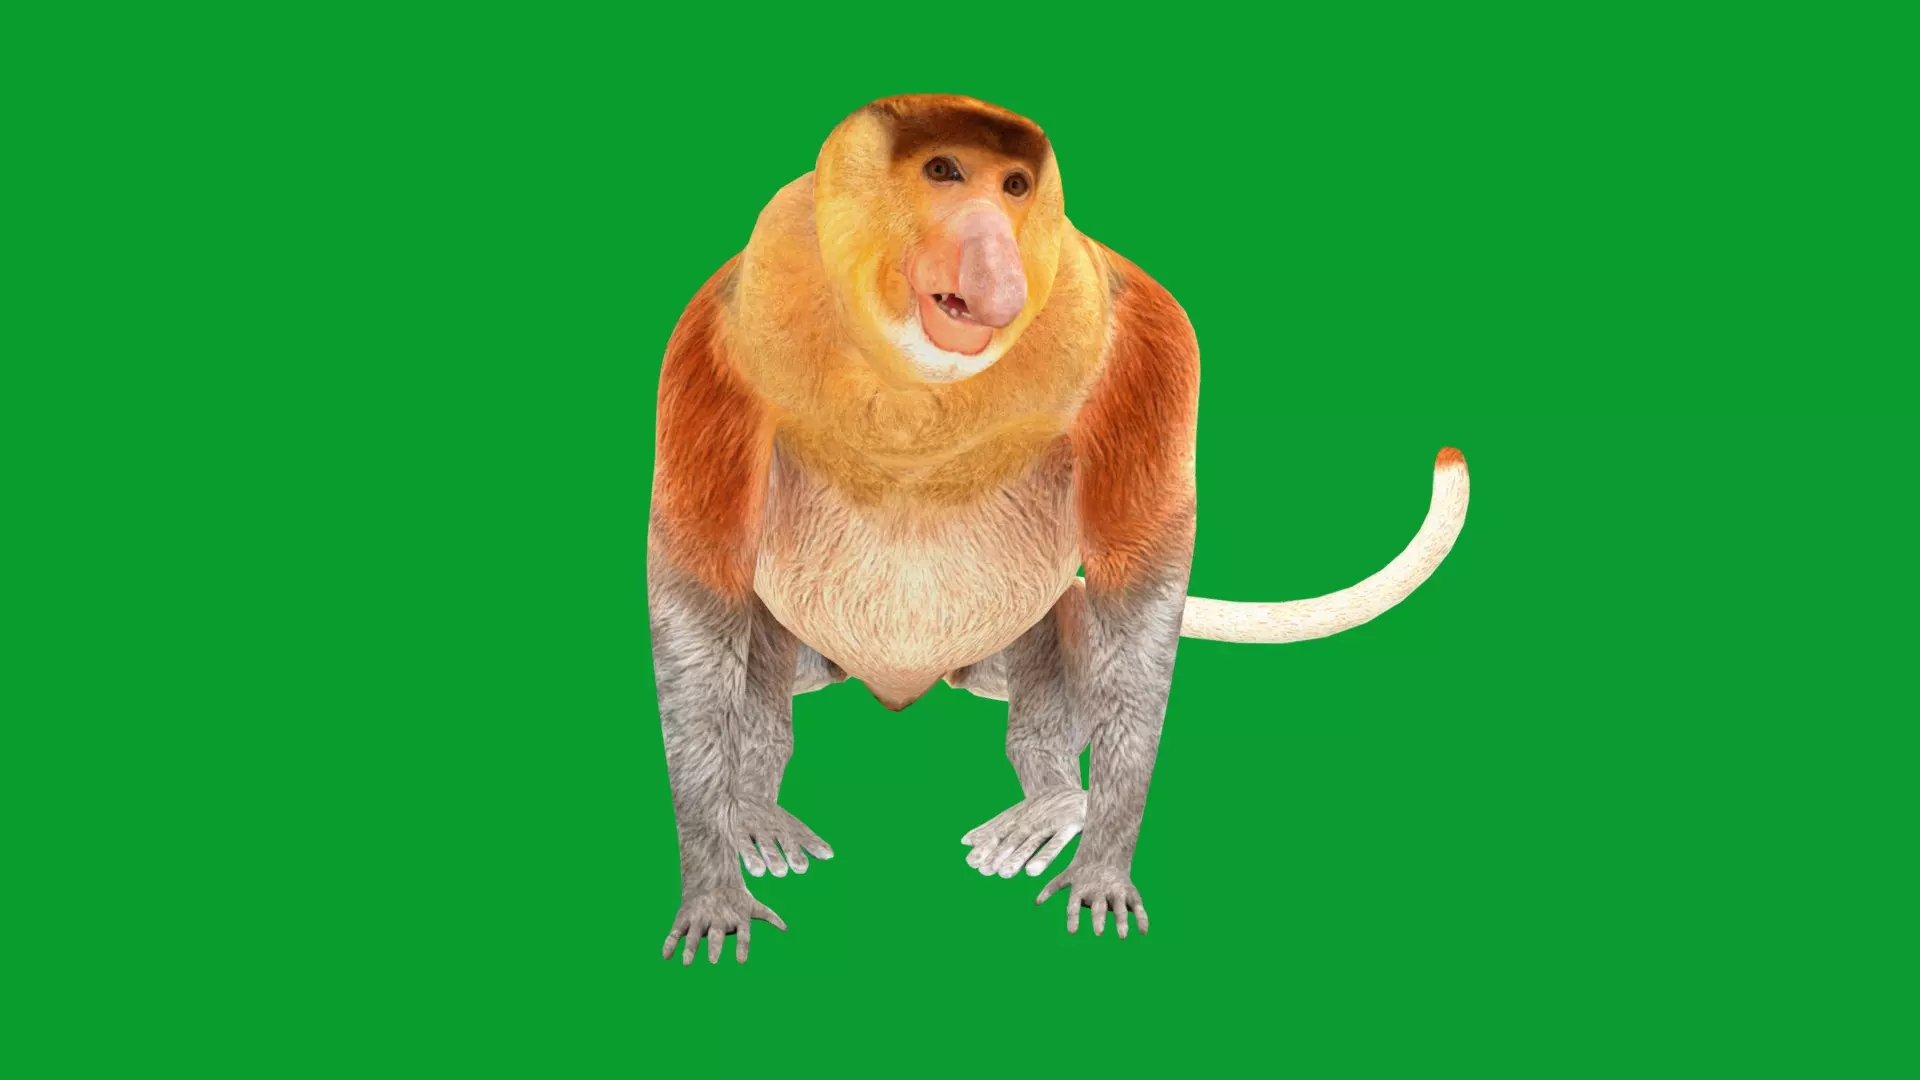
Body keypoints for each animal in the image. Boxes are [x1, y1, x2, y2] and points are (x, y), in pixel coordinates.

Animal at [648, 94, 1470, 965]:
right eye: (944, 170)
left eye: (1014, 185)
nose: (1000, 280)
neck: (913, 378)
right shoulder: (715, 342)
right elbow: (697, 590)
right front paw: (712, 890)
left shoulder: (1137, 333)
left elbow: (1133, 597)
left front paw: (1103, 867)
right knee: (752, 632)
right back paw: (752, 805)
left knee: (1072, 621)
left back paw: (1052, 803)